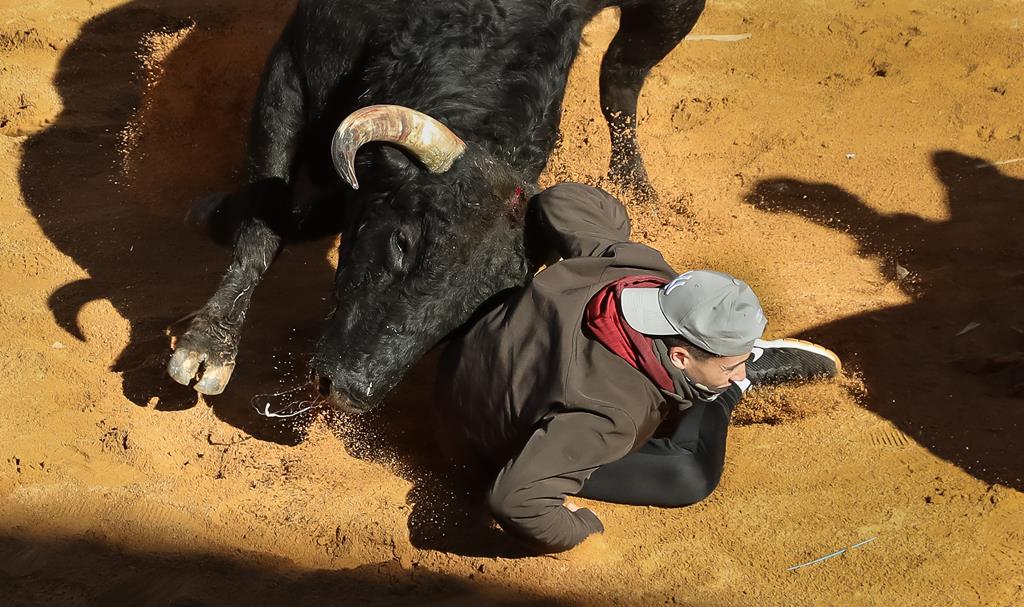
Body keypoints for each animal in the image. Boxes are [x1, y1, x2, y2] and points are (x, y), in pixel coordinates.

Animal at [167, 0, 708, 411]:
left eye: (479, 306)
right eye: (403, 243)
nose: (347, 391)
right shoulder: (296, 68)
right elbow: (265, 219)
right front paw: (208, 347)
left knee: (622, 76)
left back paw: (635, 186)